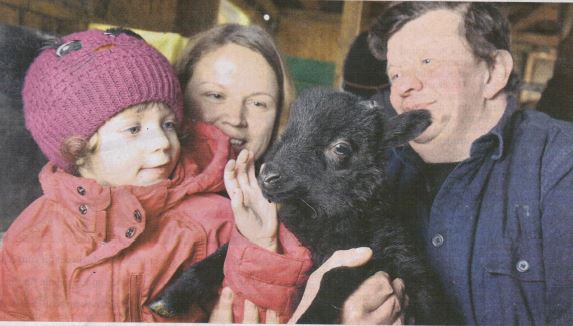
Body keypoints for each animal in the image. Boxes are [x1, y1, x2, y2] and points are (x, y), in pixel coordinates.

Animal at [150, 86, 454, 324]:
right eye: (286, 132)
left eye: (341, 148)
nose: (267, 176)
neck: (325, 216)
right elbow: (221, 255)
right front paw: (170, 298)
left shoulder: (373, 256)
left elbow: (330, 277)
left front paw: (309, 316)